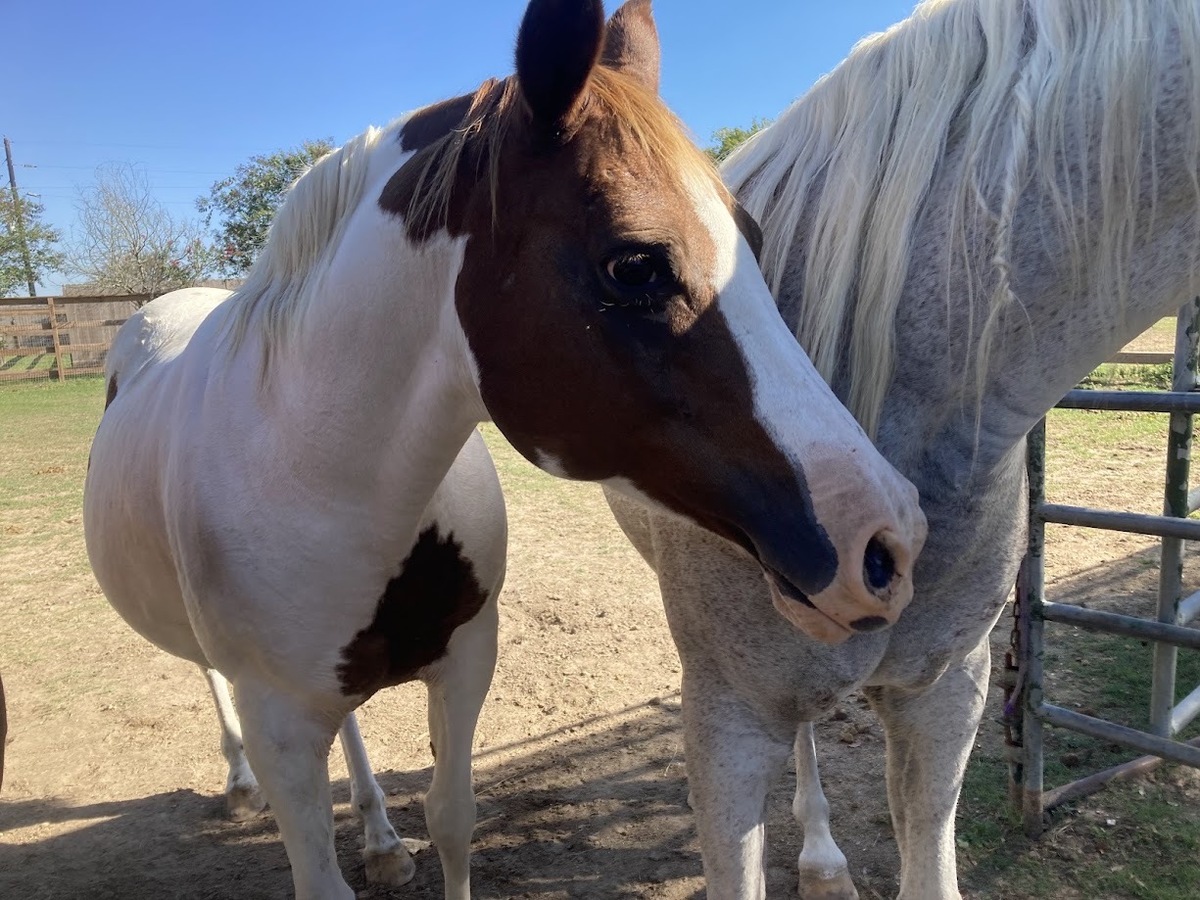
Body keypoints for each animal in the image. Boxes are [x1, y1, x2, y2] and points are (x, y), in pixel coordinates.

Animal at [82, 1, 926, 898]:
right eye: (636, 264)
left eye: (753, 241)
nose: (887, 540)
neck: (313, 472)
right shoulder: (278, 719)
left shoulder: (465, 663)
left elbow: (454, 820)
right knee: (219, 686)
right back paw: (243, 786)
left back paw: (381, 837)